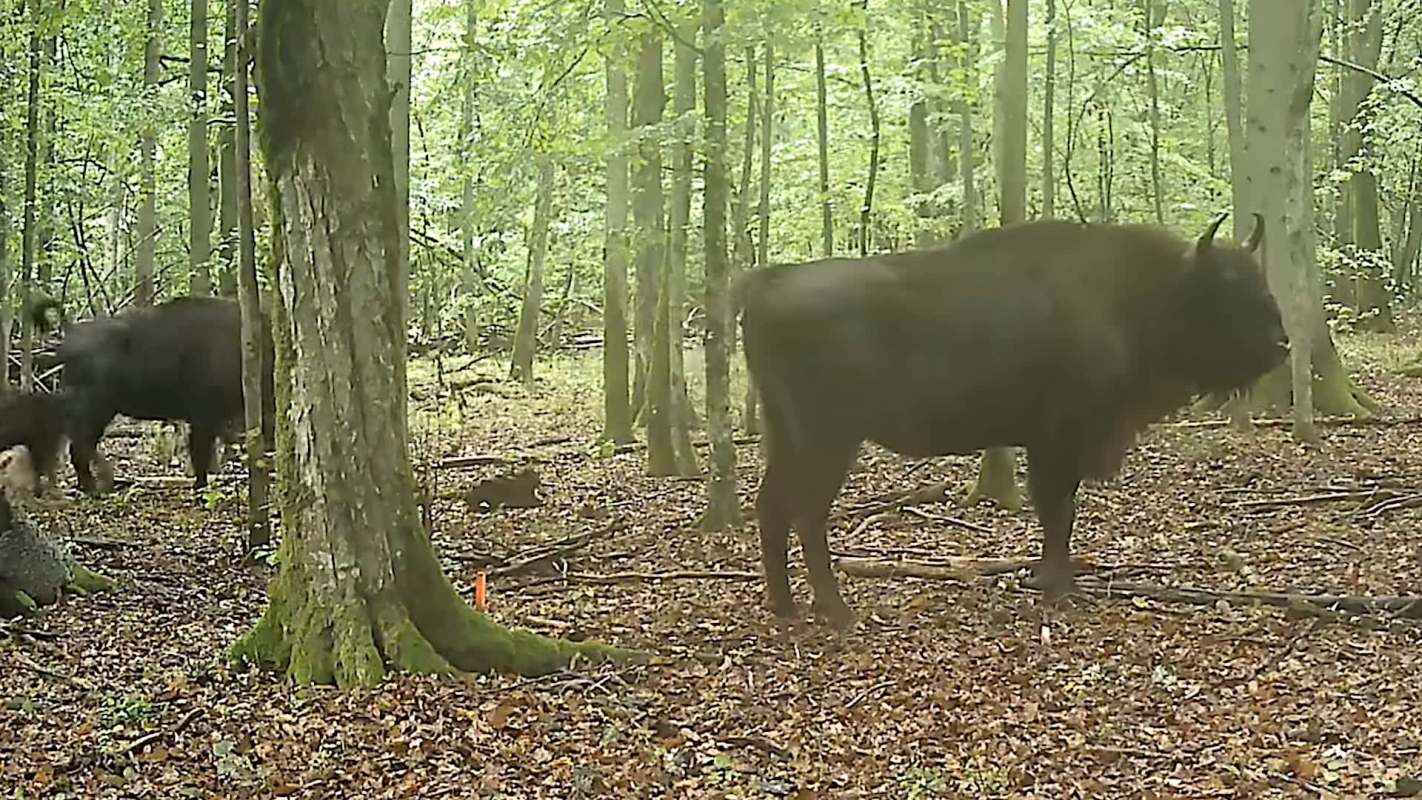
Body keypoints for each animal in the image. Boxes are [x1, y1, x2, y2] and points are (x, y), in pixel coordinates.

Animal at [738, 213, 1286, 627]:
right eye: (1227, 287)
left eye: (1260, 280)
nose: (1281, 345)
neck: (1146, 289)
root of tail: (767, 283)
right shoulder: (1059, 439)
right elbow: (1058, 511)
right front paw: (1057, 587)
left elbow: (1055, 511)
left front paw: (1045, 580)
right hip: (828, 440)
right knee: (807, 513)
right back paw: (837, 612)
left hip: (788, 435)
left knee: (772, 506)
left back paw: (786, 608)